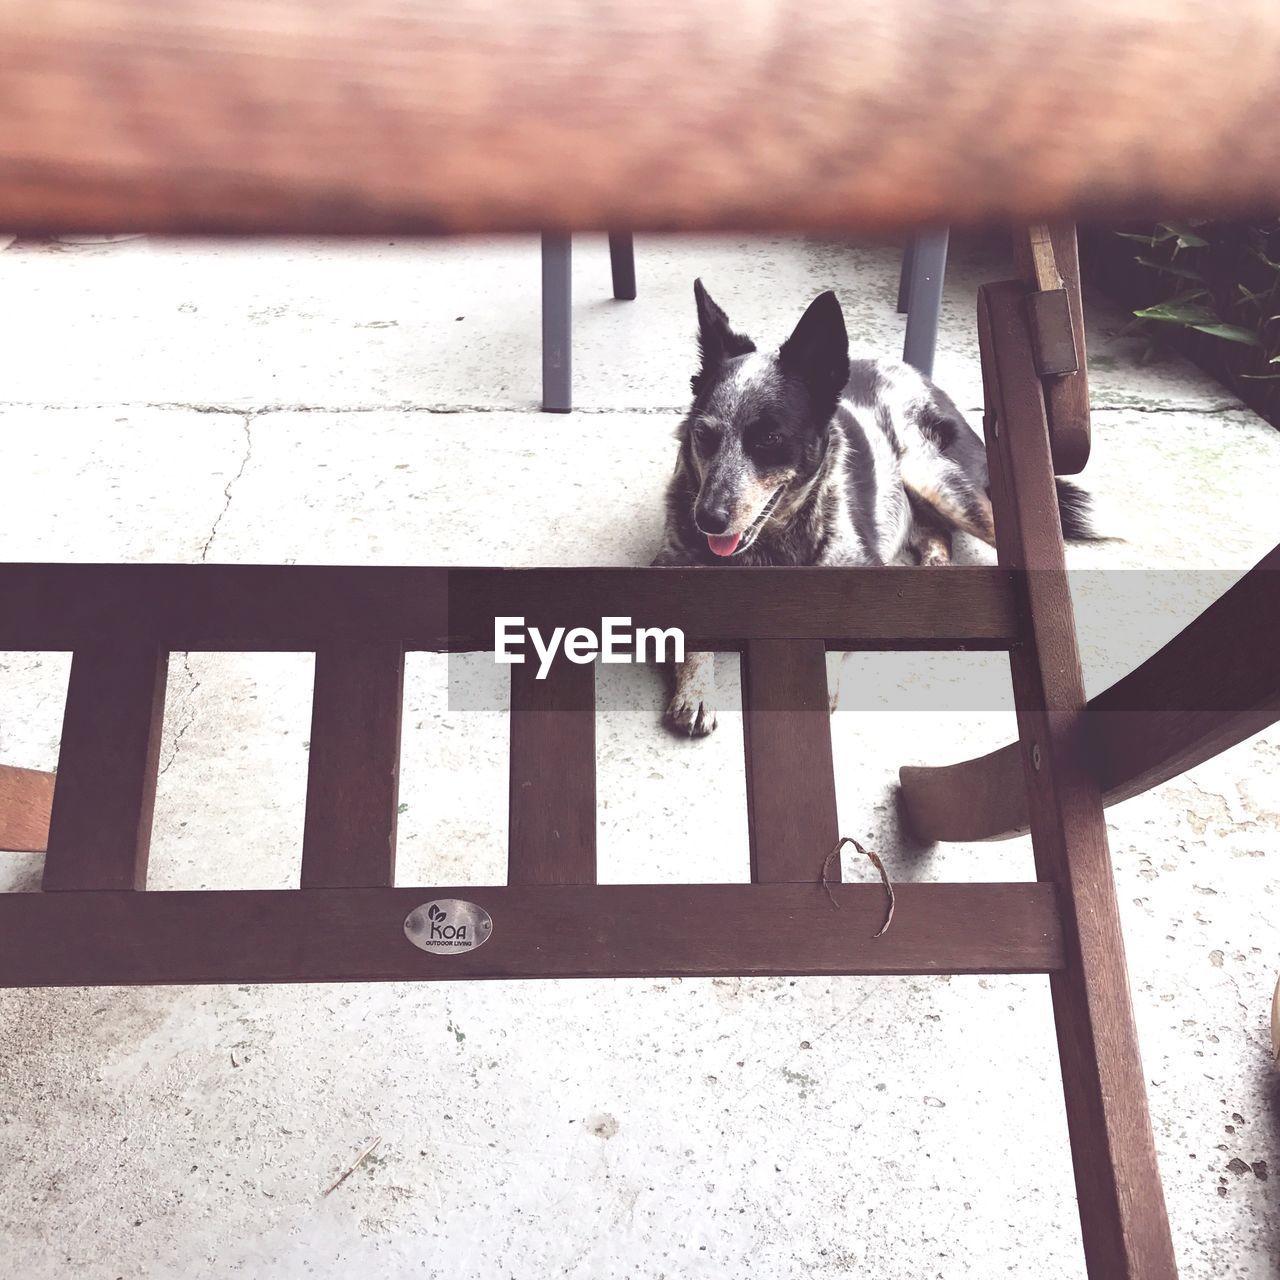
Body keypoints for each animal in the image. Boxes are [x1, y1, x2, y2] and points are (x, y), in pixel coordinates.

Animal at [655, 284, 1095, 737]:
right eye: (703, 435)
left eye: (770, 439)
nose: (706, 519)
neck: (770, 547)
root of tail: (916, 373)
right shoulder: (670, 566)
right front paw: (695, 692)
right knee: (935, 532)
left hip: (929, 475)